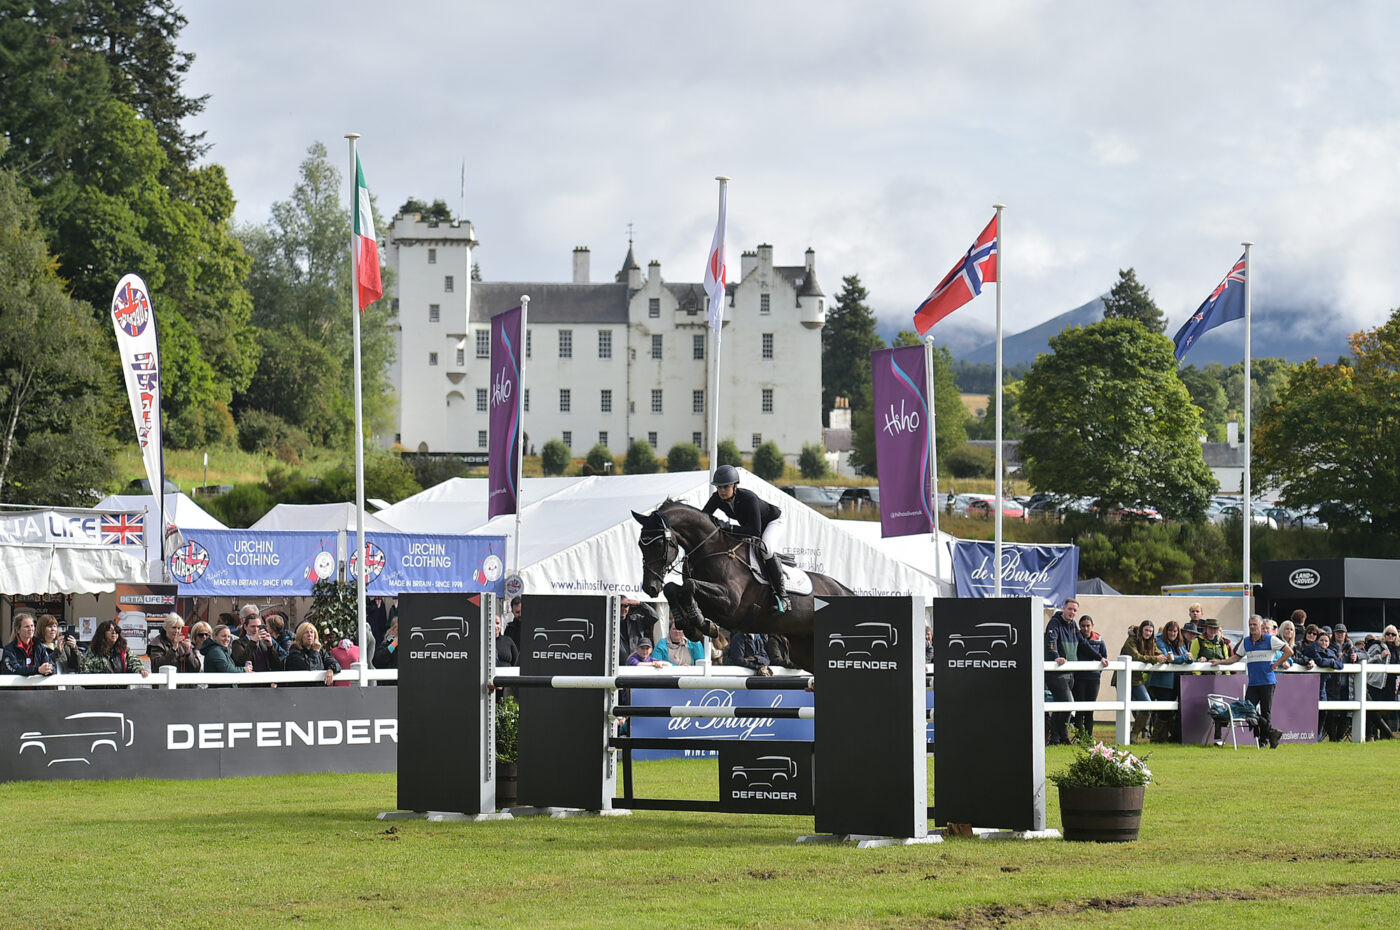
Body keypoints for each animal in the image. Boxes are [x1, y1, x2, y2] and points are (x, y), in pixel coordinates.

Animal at [635, 498, 851, 672]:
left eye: (658, 544)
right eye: (640, 544)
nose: (649, 588)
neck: (711, 548)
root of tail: (844, 589)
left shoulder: (730, 603)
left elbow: (689, 585)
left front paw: (702, 623)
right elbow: (673, 589)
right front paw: (690, 625)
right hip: (803, 646)